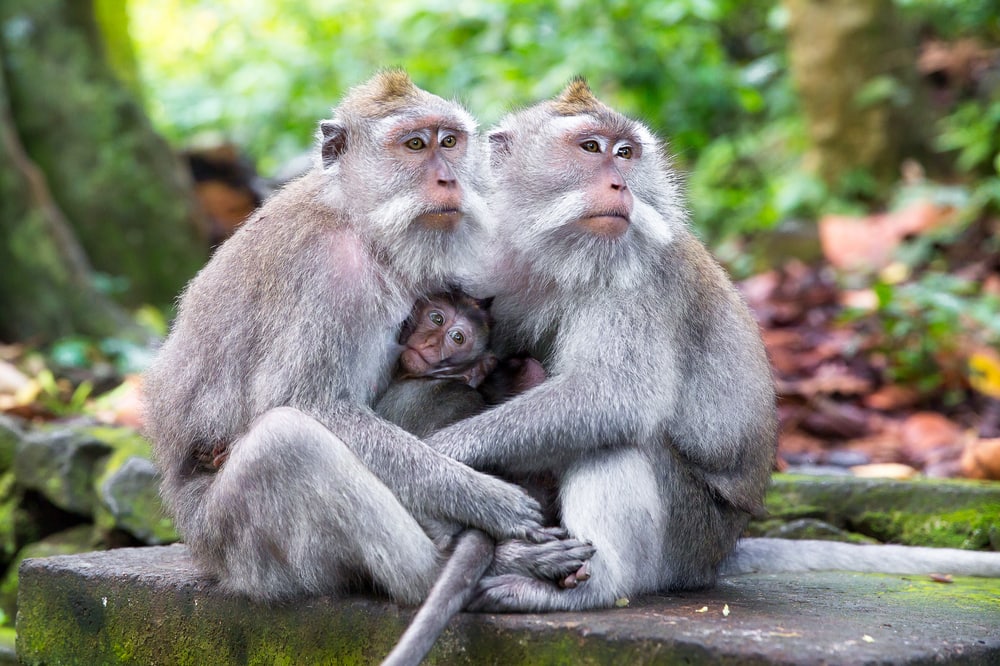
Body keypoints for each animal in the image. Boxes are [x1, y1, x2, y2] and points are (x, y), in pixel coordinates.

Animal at [142, 70, 593, 608]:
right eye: (415, 144)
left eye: (449, 142)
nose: (449, 179)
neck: (358, 221)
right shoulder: (329, 272)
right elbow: (310, 403)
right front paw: (487, 500)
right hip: (240, 551)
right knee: (287, 442)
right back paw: (454, 570)